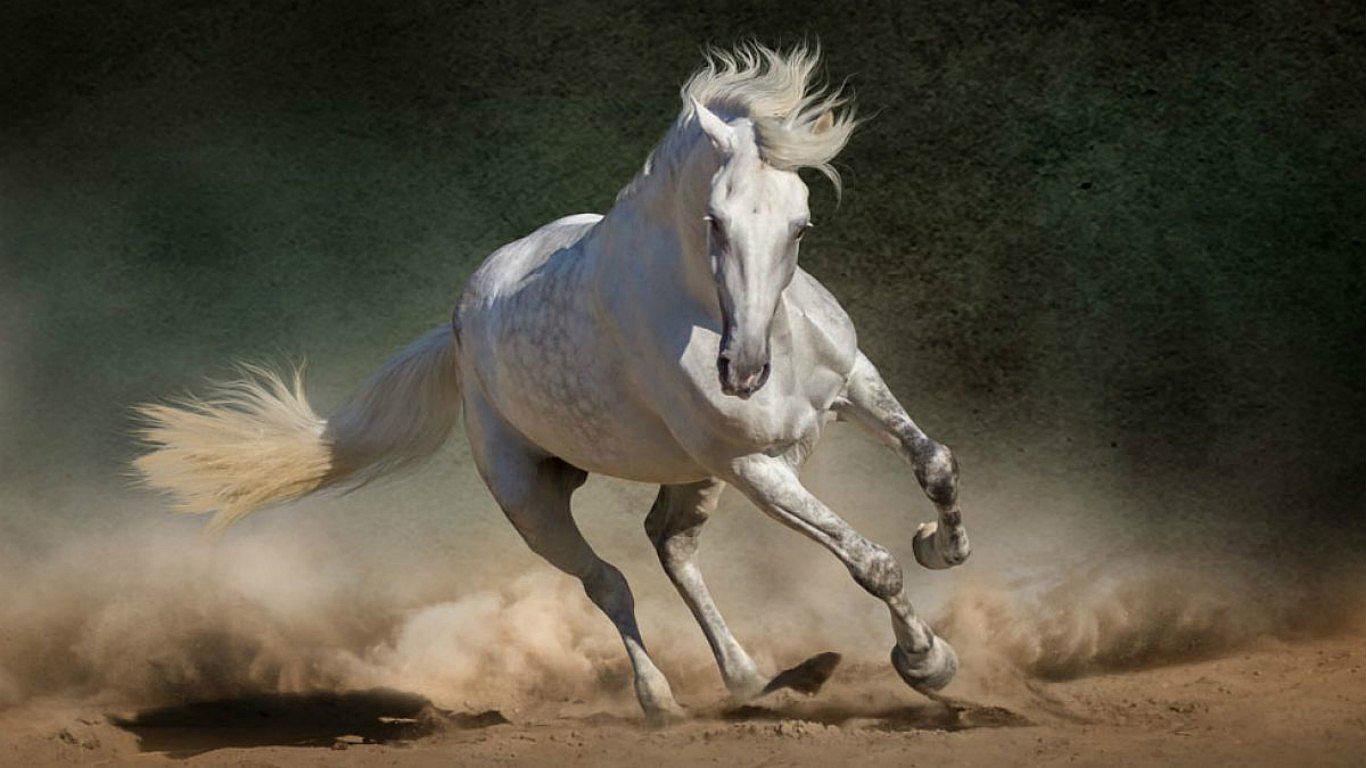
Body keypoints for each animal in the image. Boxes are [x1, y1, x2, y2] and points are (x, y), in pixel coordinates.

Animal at [134, 44, 971, 723]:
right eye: (714, 221)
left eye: (800, 226)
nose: (743, 372)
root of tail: (460, 324)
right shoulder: (754, 467)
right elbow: (870, 561)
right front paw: (928, 663)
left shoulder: (852, 385)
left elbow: (934, 463)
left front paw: (943, 545)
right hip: (532, 498)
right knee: (610, 583)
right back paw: (665, 700)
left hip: (690, 473)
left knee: (670, 546)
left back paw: (758, 680)